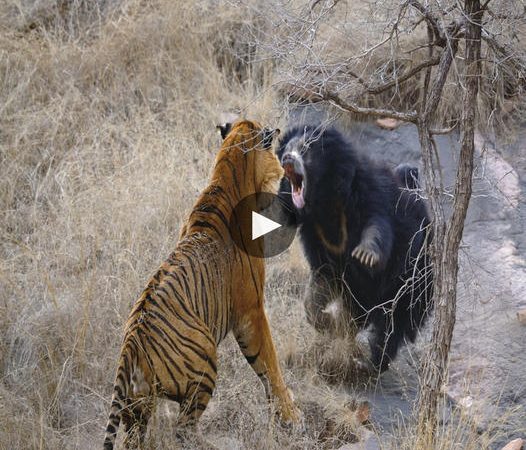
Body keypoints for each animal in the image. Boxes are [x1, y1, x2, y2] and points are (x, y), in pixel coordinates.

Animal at [103, 119, 302, 450]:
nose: (283, 170)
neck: (227, 175)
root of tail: (130, 345)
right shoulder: (252, 310)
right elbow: (269, 364)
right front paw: (290, 414)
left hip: (137, 408)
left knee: (138, 438)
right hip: (205, 362)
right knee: (183, 430)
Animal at [278, 124, 436, 372]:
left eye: (305, 149)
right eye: (287, 149)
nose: (287, 159)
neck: (324, 199)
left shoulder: (368, 192)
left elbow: (377, 225)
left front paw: (365, 255)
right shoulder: (318, 238)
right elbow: (319, 286)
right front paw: (327, 322)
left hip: (413, 280)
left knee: (393, 326)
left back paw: (371, 363)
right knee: (359, 313)